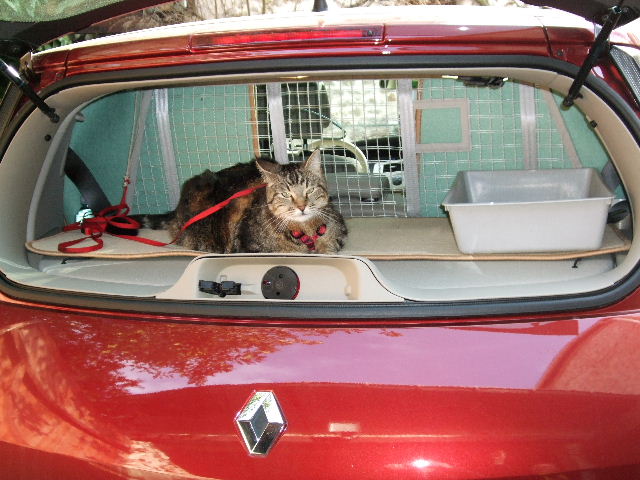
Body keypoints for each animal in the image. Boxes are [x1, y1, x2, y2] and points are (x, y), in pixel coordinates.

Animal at [132, 150, 348, 255]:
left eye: (309, 190)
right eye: (286, 194)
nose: (302, 207)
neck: (306, 231)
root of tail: (176, 210)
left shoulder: (338, 236)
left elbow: (331, 246)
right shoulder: (249, 248)